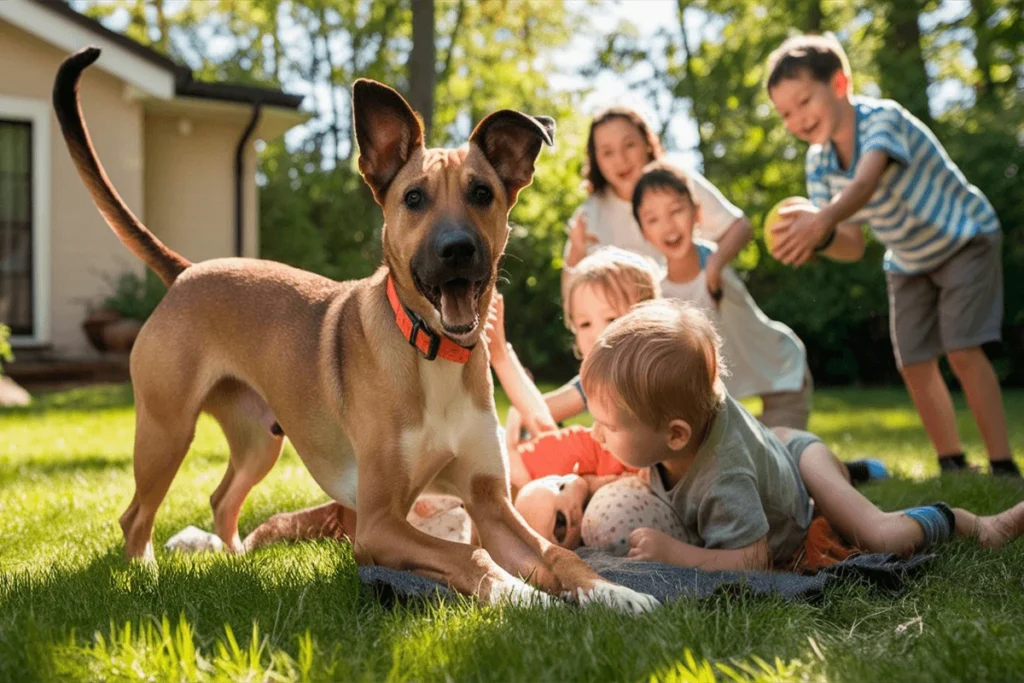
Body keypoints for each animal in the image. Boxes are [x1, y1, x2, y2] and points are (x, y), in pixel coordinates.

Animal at [56, 48, 659, 614]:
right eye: (413, 198)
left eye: (482, 193)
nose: (457, 250)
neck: (432, 353)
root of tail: (187, 271)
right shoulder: (378, 524)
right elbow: (470, 554)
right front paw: (520, 596)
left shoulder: (491, 504)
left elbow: (557, 554)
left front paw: (612, 592)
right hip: (166, 432)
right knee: (135, 516)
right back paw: (144, 574)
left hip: (257, 443)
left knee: (222, 500)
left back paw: (233, 563)